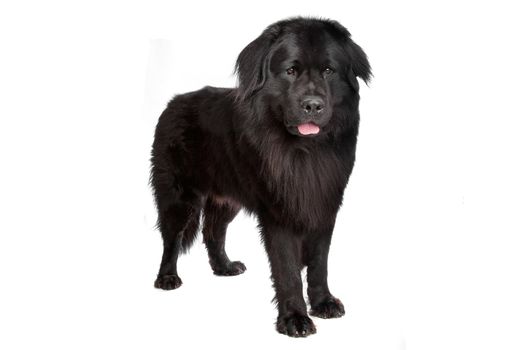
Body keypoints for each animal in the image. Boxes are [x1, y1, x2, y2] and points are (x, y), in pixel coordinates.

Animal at [149, 17, 370, 336]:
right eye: (291, 71)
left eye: (328, 71)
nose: (313, 105)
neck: (305, 151)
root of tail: (173, 103)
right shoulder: (278, 212)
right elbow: (288, 269)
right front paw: (295, 319)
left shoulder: (324, 204)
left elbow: (319, 262)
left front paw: (324, 303)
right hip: (179, 196)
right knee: (172, 236)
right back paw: (167, 277)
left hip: (227, 197)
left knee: (213, 231)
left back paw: (224, 267)